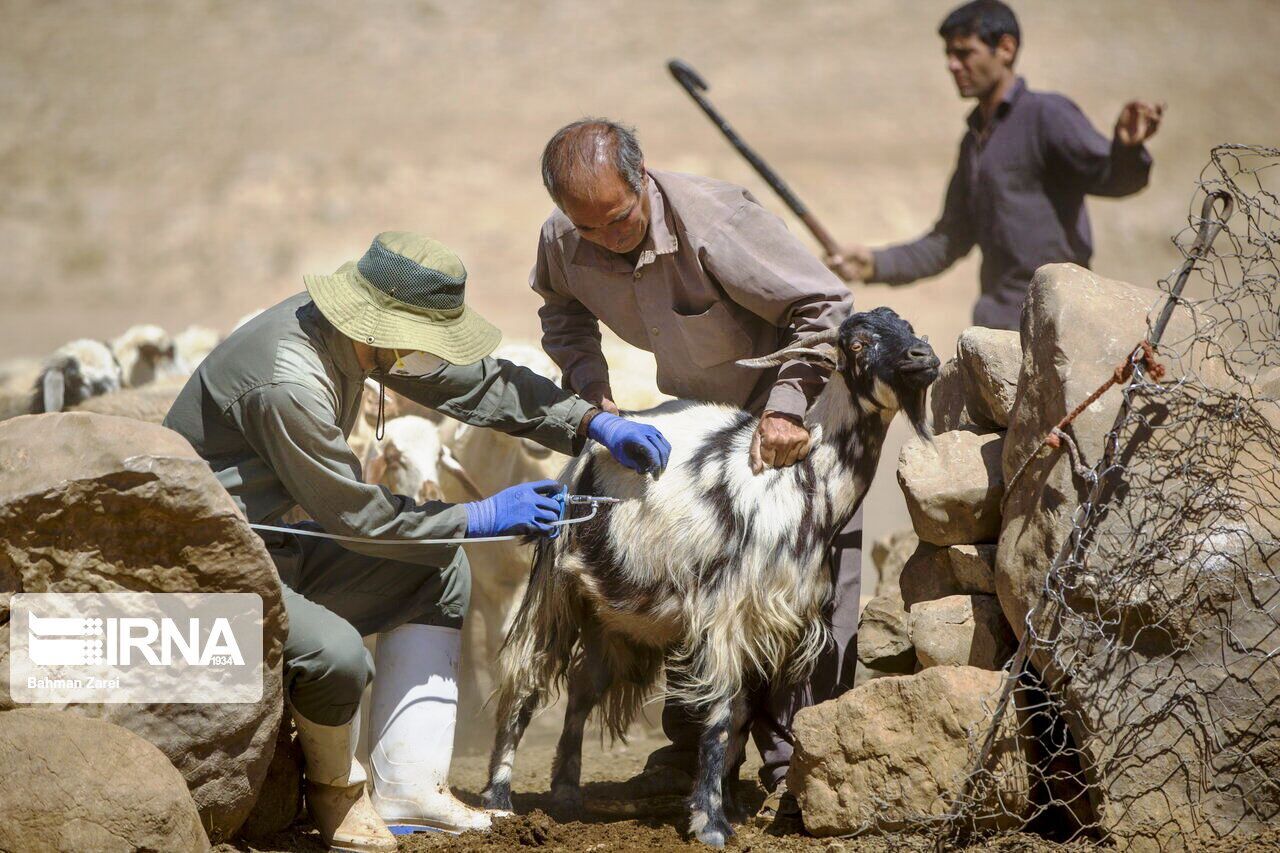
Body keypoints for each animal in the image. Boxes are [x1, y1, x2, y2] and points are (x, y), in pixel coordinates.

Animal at [481, 306, 942, 845]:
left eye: (906, 327)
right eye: (857, 344)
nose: (924, 357)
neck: (801, 482)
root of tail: (583, 459)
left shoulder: (772, 622)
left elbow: (743, 714)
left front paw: (731, 806)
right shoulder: (726, 613)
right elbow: (721, 714)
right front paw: (710, 822)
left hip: (612, 611)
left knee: (582, 686)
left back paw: (567, 795)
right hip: (556, 586)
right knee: (526, 676)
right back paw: (499, 800)